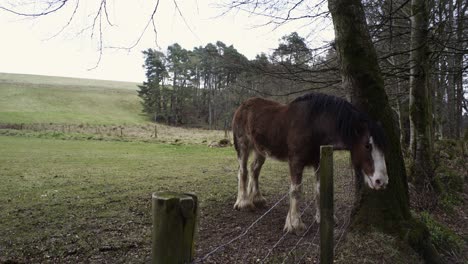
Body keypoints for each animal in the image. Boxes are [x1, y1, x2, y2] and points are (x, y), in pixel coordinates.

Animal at [230, 92, 388, 234]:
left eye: (383, 146)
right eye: (367, 145)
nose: (381, 181)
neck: (314, 125)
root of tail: (243, 105)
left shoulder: (318, 162)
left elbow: (318, 189)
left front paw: (323, 218)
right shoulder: (295, 162)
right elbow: (295, 191)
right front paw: (294, 224)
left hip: (260, 150)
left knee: (254, 170)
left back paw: (257, 199)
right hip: (243, 146)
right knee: (243, 171)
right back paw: (243, 203)